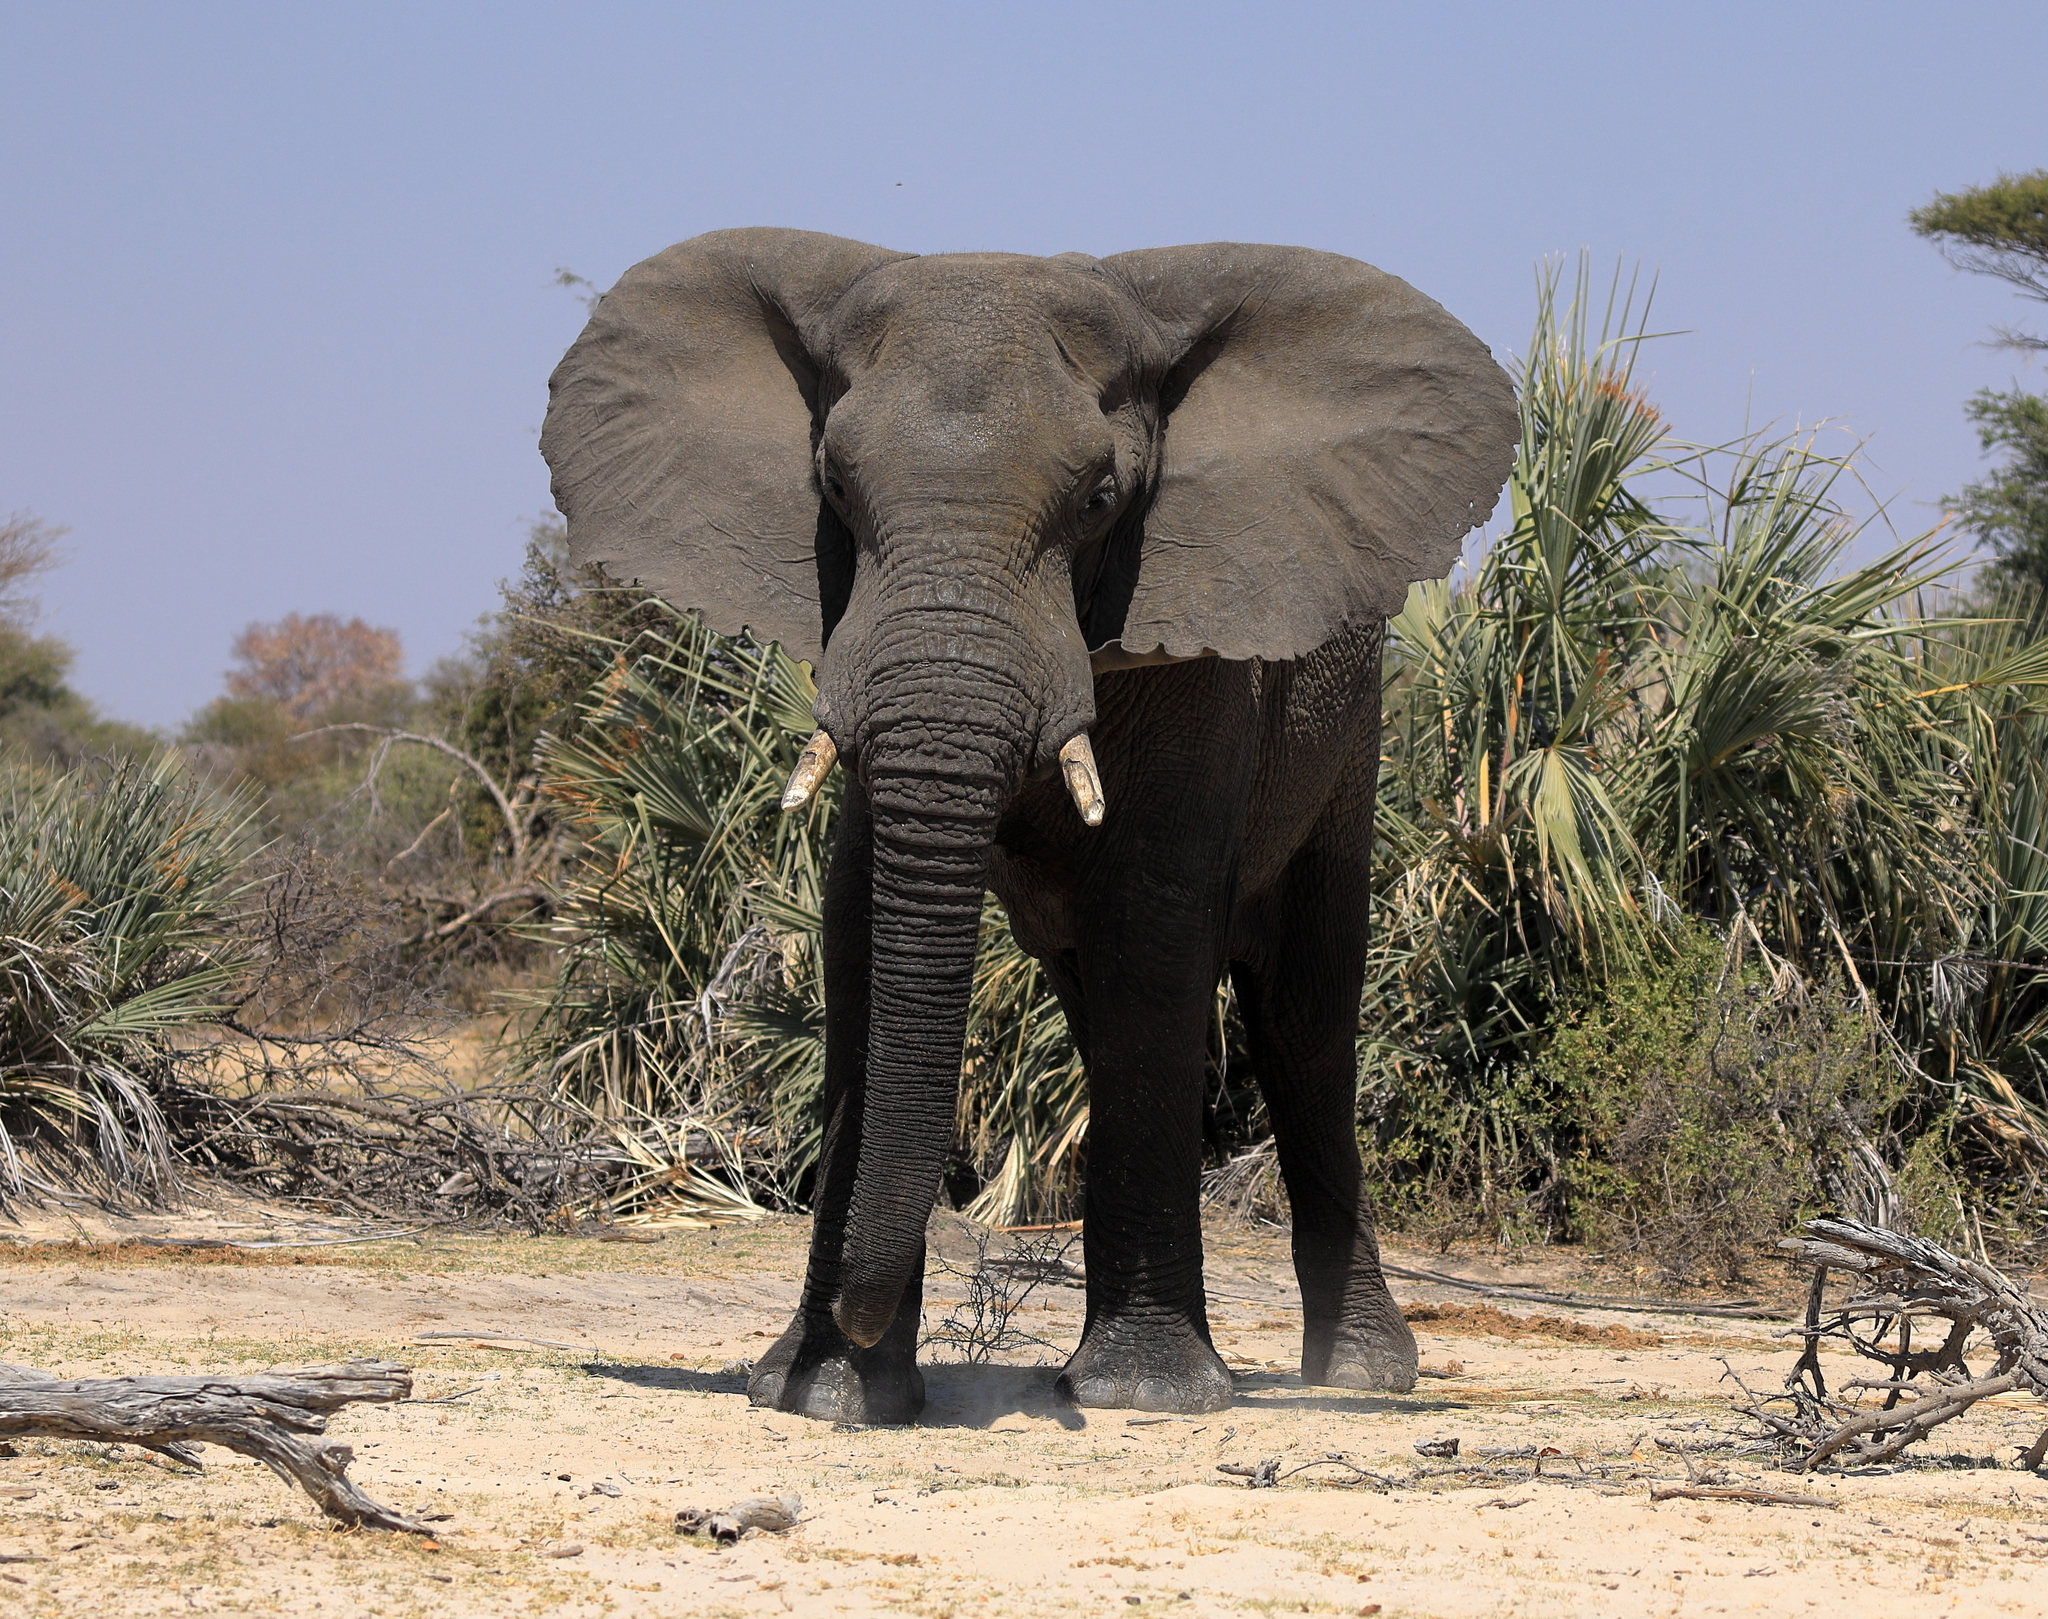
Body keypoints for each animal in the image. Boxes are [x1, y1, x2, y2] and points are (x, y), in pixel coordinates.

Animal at [542, 228, 1516, 1421]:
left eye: (1100, 497)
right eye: (833, 486)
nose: (853, 1322)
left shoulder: (1200, 649)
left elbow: (1148, 921)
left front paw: (1147, 1392)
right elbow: (858, 927)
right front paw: (826, 1393)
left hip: (1349, 741)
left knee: (1304, 1019)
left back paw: (1362, 1374)